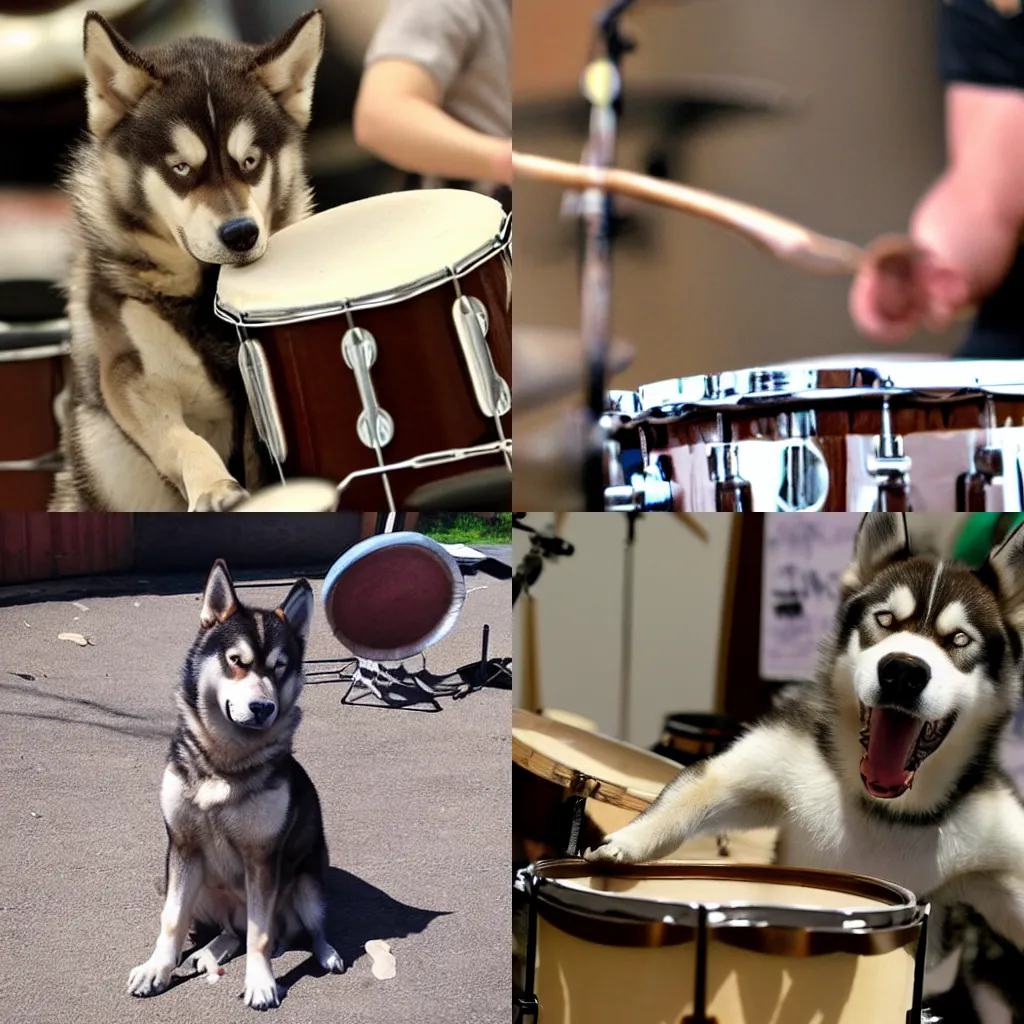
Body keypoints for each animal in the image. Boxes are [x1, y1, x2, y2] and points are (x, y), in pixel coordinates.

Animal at [50, 12, 323, 512]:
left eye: (250, 161)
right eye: (180, 169)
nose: (240, 234)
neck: (204, 295)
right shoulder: (133, 376)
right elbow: (181, 439)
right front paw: (214, 485)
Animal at [126, 561, 344, 1007]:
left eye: (280, 667)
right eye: (236, 661)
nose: (263, 707)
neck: (225, 762)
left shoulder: (262, 858)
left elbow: (260, 935)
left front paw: (260, 981)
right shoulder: (183, 848)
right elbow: (171, 920)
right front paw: (157, 969)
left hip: (306, 883)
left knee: (301, 927)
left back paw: (325, 952)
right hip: (190, 885)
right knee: (230, 929)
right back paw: (211, 950)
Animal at [585, 516, 1024, 1011]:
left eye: (959, 640)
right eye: (884, 620)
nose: (903, 671)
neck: (887, 811)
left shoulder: (1000, 850)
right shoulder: (768, 765)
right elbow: (694, 793)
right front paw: (629, 842)